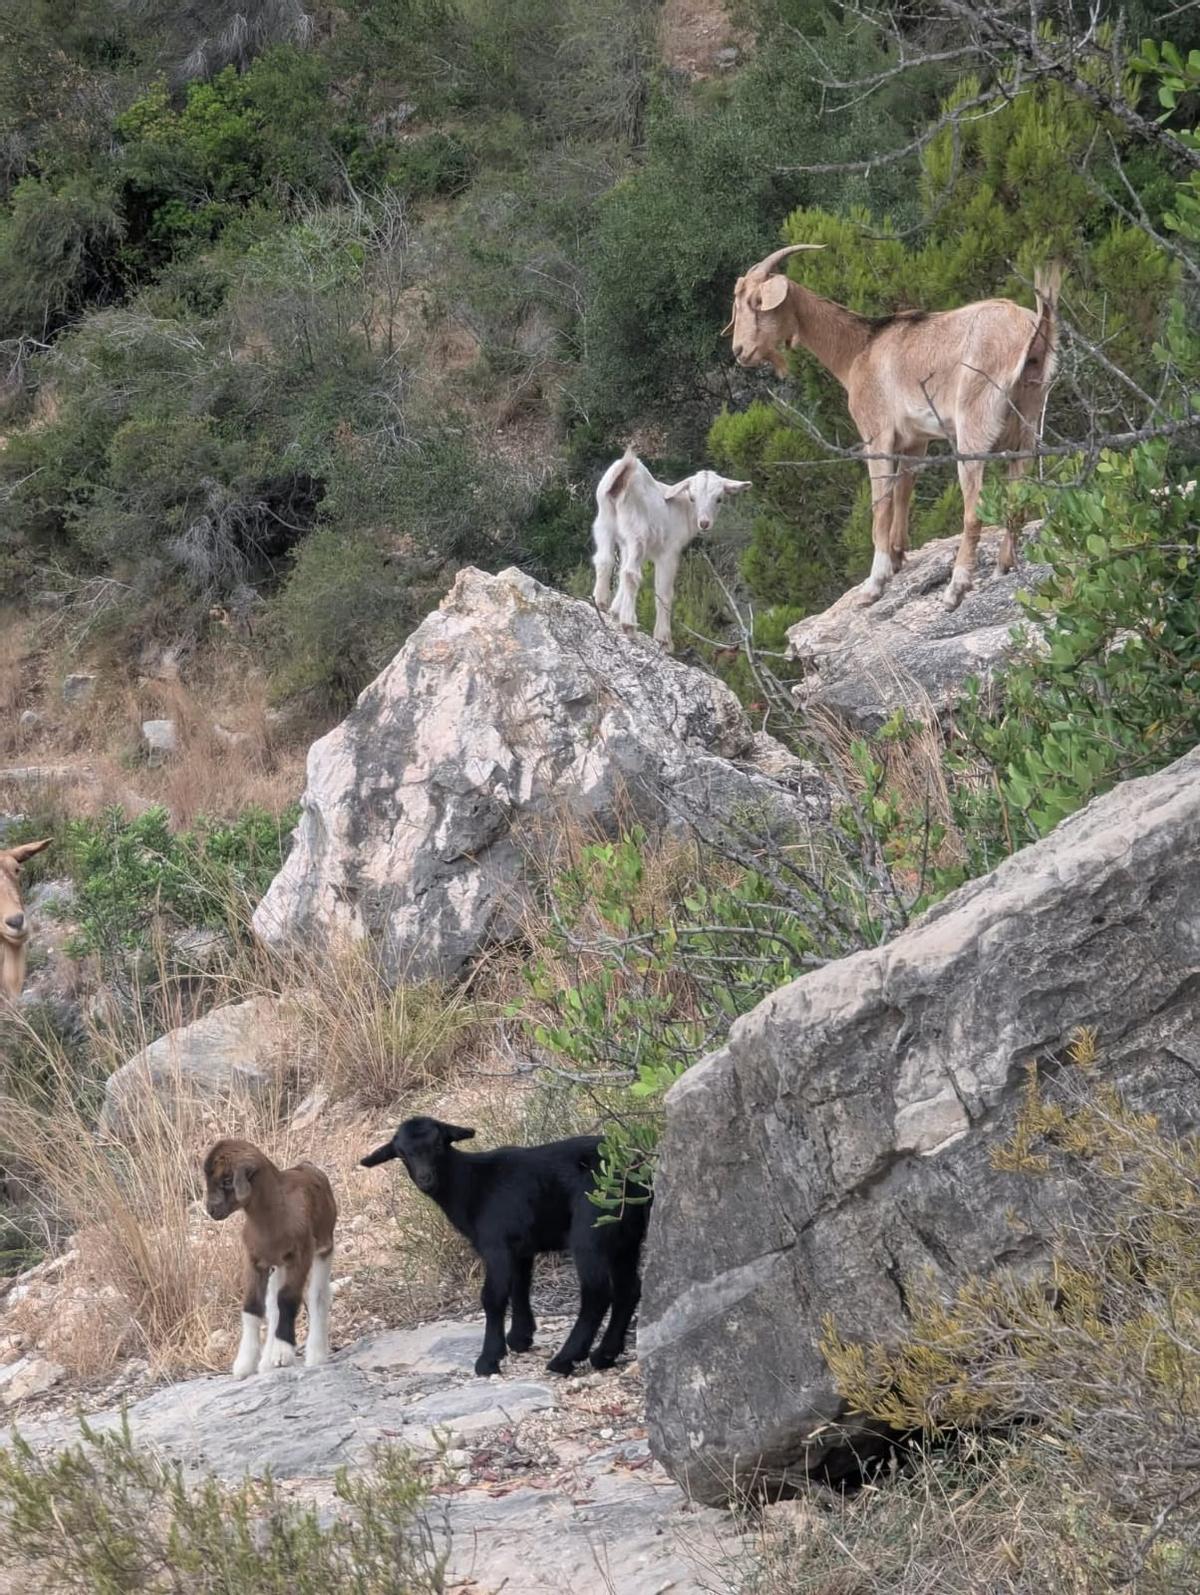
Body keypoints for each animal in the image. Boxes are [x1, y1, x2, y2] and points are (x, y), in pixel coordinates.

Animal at [202, 1138, 337, 1377]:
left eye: (227, 1180)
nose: (212, 1210)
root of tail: (307, 1166)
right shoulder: (255, 1261)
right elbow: (253, 1306)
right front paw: (245, 1363)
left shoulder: (300, 1256)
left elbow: (288, 1300)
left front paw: (283, 1353)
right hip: (279, 1265)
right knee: (273, 1305)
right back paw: (266, 1362)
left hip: (323, 1246)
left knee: (318, 1295)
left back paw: (316, 1354)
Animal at [361, 1117, 650, 1378]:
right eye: (401, 1154)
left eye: (439, 1144)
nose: (425, 1179)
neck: (470, 1183)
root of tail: (634, 1168)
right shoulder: (520, 1248)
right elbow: (519, 1286)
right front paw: (520, 1338)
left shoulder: (496, 1245)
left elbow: (493, 1297)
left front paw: (489, 1359)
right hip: (626, 1236)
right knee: (628, 1289)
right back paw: (604, 1354)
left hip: (591, 1229)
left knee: (597, 1293)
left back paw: (566, 1358)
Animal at [591, 449, 751, 648]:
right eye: (692, 498)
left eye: (719, 499)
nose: (704, 523)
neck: (684, 510)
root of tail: (624, 473)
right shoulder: (669, 552)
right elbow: (664, 592)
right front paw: (664, 640)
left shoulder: (628, 545)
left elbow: (620, 573)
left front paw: (614, 612)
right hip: (637, 532)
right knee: (630, 574)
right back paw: (629, 625)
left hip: (604, 522)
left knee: (605, 560)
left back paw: (601, 602)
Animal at [727, 245, 1061, 610]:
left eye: (756, 302)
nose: (740, 351)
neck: (859, 350)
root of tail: (1032, 332)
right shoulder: (915, 440)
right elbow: (904, 488)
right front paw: (899, 556)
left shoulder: (877, 434)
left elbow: (881, 504)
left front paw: (875, 583)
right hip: (1028, 425)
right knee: (1018, 500)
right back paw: (1004, 565)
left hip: (973, 424)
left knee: (974, 510)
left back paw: (956, 588)